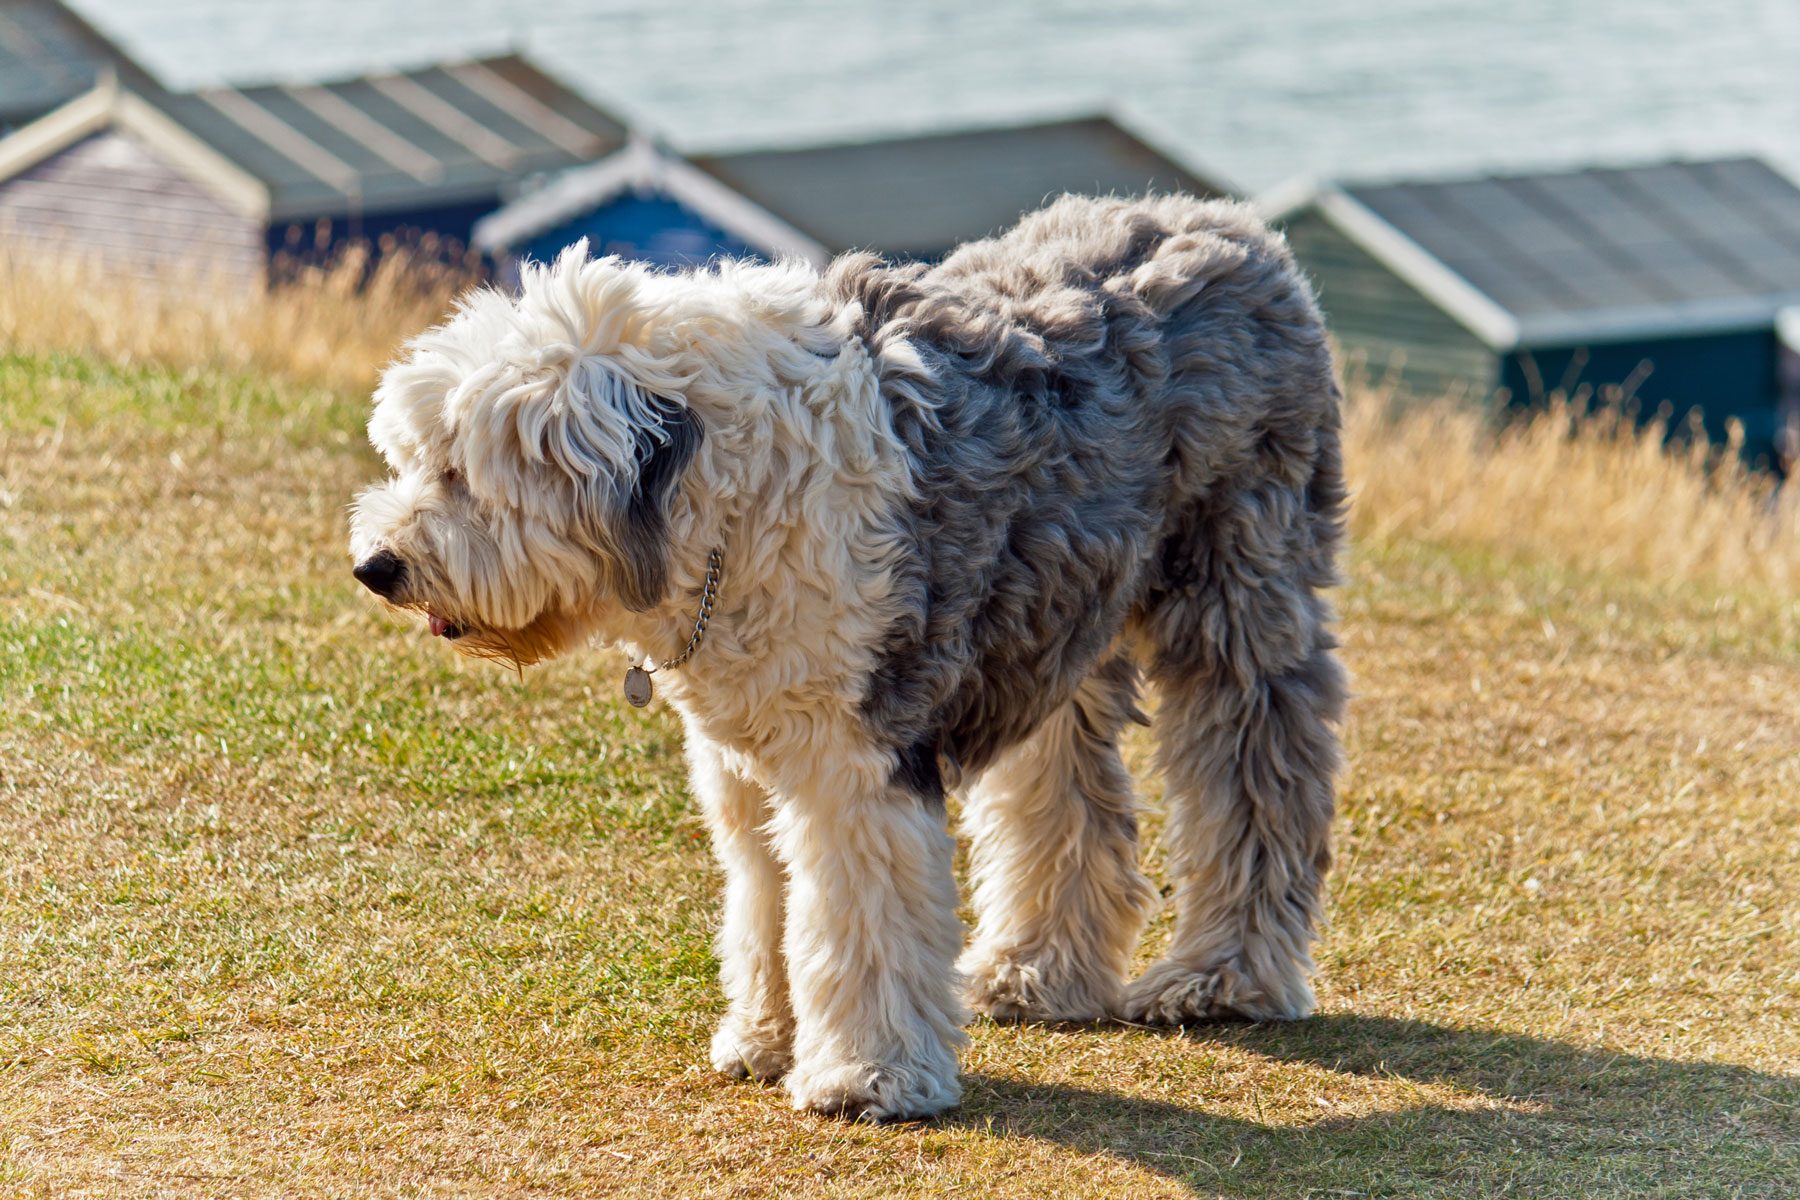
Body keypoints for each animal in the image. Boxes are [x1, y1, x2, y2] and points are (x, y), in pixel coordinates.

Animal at [347, 192, 1353, 1122]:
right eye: (414, 459)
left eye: (459, 474)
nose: (375, 567)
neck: (730, 497)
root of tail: (1233, 227)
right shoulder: (744, 758)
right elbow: (767, 901)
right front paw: (764, 1038)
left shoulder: (854, 758)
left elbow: (855, 917)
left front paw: (867, 1075)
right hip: (1051, 622)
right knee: (1066, 796)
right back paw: (1034, 972)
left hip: (1236, 595)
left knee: (1256, 775)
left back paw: (1224, 978)